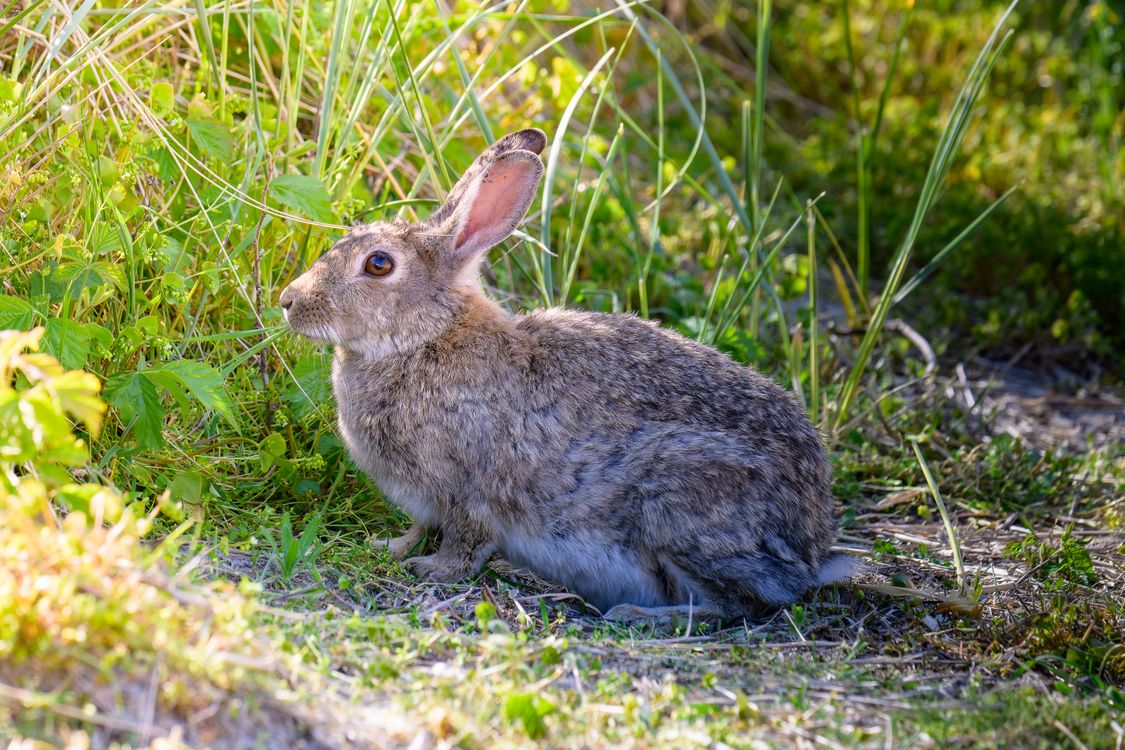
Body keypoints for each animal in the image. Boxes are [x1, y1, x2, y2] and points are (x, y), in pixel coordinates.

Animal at [279, 128, 853, 620]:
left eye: (378, 265)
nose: (288, 301)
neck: (424, 339)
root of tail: (811, 546)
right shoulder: (428, 500)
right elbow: (420, 526)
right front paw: (391, 546)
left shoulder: (471, 490)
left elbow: (465, 542)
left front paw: (431, 570)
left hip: (684, 502)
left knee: (739, 604)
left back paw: (639, 615)